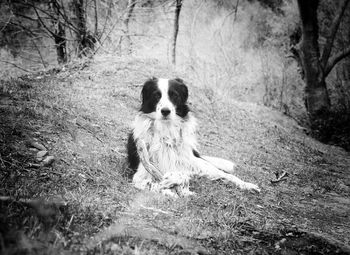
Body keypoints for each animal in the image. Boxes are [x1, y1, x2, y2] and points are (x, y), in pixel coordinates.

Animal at [127, 76, 262, 196]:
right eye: (156, 95)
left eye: (174, 95)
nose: (165, 111)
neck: (166, 131)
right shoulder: (141, 174)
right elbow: (153, 183)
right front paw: (168, 189)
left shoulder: (183, 164)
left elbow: (181, 175)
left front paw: (173, 181)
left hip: (200, 163)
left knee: (225, 174)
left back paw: (247, 185)